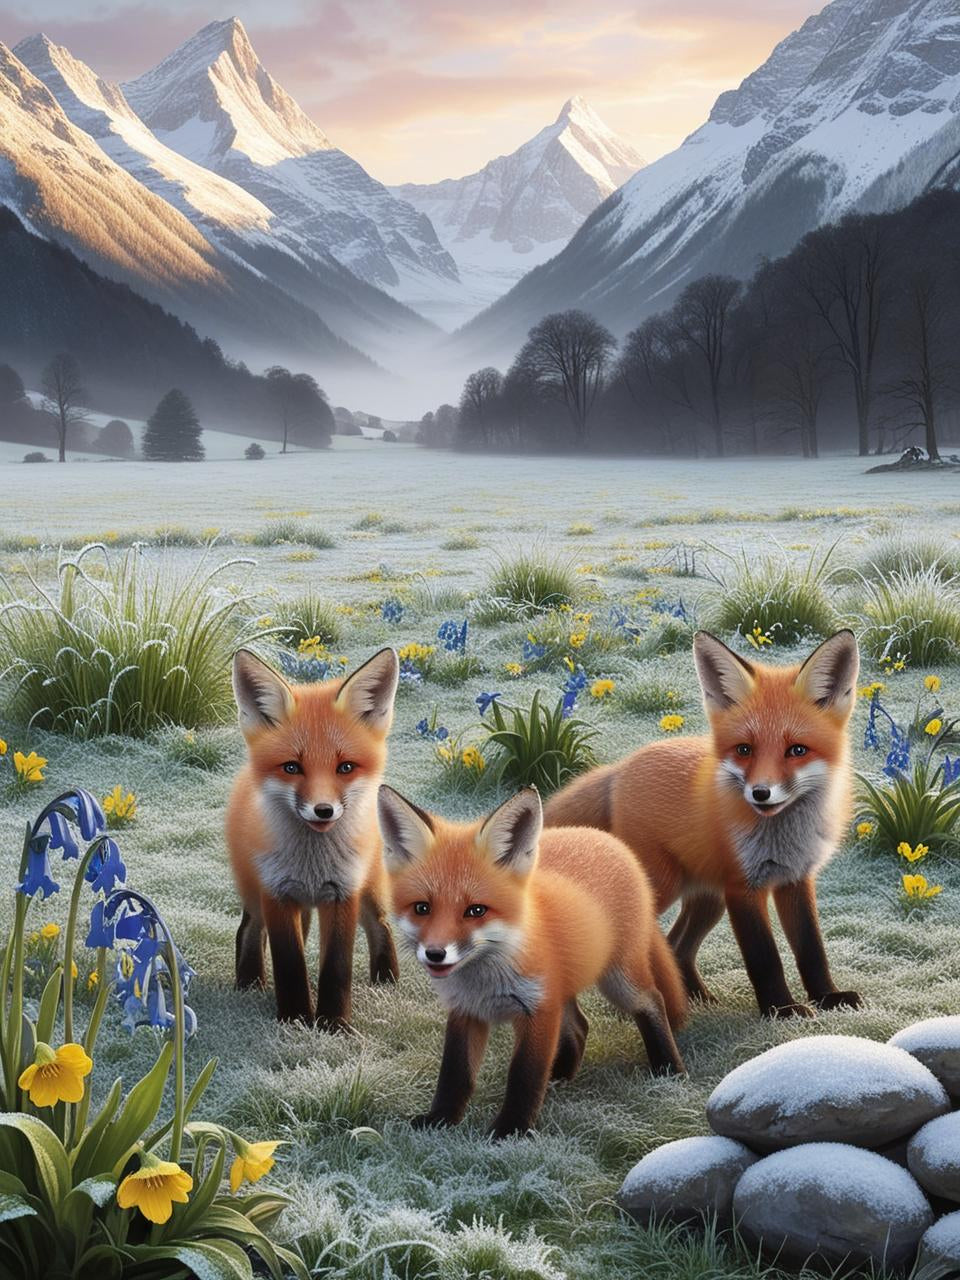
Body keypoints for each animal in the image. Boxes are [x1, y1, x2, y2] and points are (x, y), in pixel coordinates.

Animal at [226, 646, 400, 1028]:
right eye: (292, 767)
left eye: (345, 767)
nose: (324, 811)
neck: (312, 865)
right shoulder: (276, 893)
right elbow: (290, 964)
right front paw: (294, 1018)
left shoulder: (343, 891)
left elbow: (336, 968)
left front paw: (334, 1025)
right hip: (255, 892)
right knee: (249, 930)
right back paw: (249, 983)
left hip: (371, 889)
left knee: (381, 927)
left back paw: (387, 980)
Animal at [378, 784, 686, 1139]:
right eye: (422, 908)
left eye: (476, 910)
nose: (435, 953)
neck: (485, 981)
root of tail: (605, 838)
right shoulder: (466, 1011)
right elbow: (454, 1074)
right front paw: (440, 1119)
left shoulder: (538, 1011)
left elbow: (524, 1075)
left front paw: (510, 1130)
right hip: (564, 990)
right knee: (580, 1026)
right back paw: (561, 1076)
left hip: (618, 980)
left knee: (652, 1001)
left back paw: (669, 1068)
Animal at [543, 629, 862, 1020]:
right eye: (744, 749)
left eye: (797, 750)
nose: (760, 793)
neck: (783, 838)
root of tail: (621, 768)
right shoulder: (742, 887)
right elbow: (765, 958)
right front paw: (781, 1009)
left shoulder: (795, 880)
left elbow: (811, 949)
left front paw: (827, 997)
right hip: (663, 884)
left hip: (708, 898)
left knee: (676, 945)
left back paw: (694, 996)